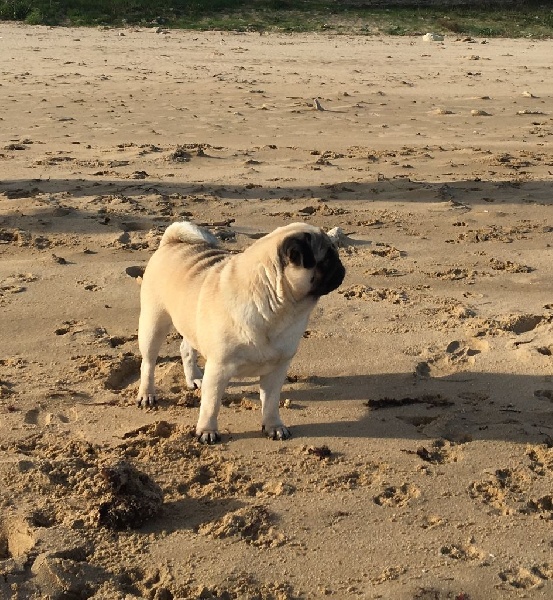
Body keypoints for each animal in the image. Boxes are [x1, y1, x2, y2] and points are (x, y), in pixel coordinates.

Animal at [137, 220, 344, 440]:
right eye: (327, 258)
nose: (341, 266)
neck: (277, 307)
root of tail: (171, 242)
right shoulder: (218, 368)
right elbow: (211, 405)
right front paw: (207, 431)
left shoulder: (277, 369)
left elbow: (271, 403)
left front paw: (274, 426)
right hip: (153, 324)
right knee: (148, 363)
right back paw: (147, 394)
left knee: (186, 348)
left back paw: (193, 377)